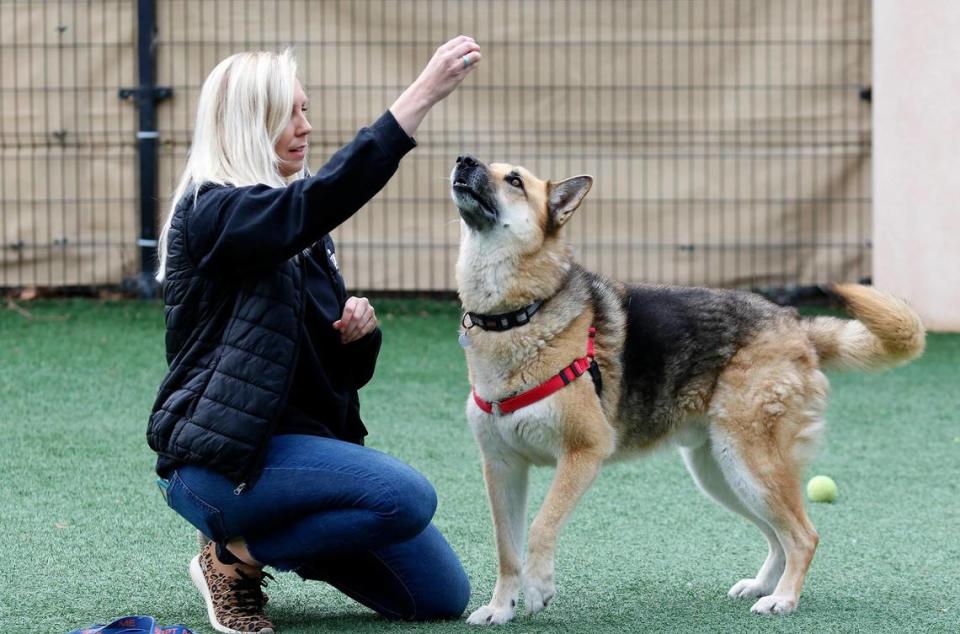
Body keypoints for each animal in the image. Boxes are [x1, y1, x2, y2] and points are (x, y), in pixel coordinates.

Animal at [454, 156, 928, 620]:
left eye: (514, 180)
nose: (462, 160)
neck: (517, 316)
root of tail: (796, 324)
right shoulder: (502, 467)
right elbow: (506, 549)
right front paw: (500, 608)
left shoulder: (583, 451)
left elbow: (541, 526)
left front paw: (538, 589)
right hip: (721, 472)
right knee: (778, 535)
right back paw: (762, 585)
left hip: (749, 463)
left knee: (804, 535)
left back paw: (784, 599)